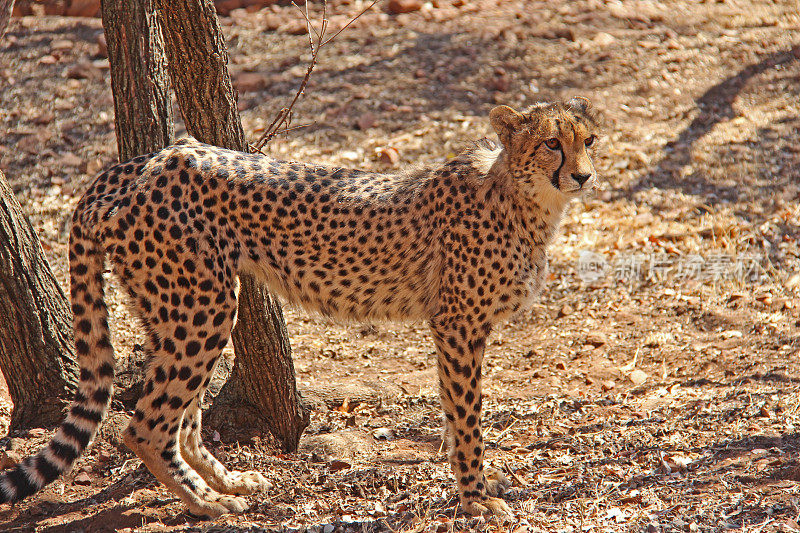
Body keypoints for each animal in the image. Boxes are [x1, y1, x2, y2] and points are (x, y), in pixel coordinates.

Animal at [0, 97, 600, 516]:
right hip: (204, 307)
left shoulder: (460, 330)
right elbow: (468, 415)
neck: (527, 202)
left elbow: (456, 414)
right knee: (145, 425)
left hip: (177, 308)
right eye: (552, 143)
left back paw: (226, 482)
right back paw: (208, 504)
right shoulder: (458, 325)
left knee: (181, 419)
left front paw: (477, 480)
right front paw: (476, 498)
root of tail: (143, 161)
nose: (584, 175)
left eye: (589, 140)